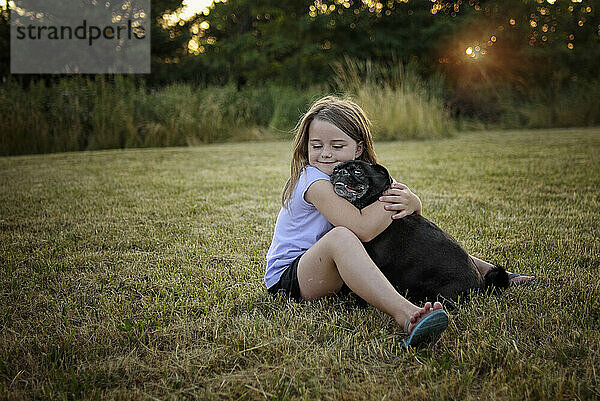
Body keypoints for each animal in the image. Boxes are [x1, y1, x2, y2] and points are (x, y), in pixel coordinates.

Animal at [330, 159, 508, 304]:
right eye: (336, 168)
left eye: (358, 172)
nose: (339, 171)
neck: (369, 203)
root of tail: (480, 285)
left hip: (442, 294)